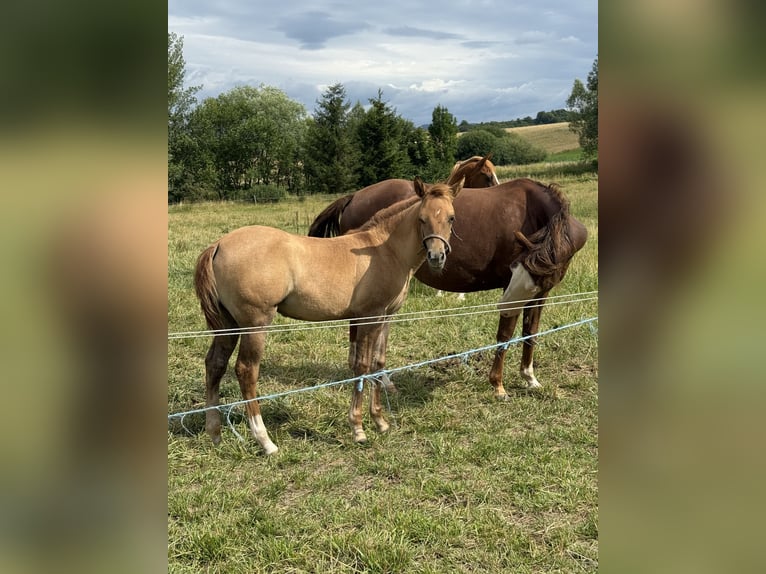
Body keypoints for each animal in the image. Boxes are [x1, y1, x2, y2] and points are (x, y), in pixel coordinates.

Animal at [193, 178, 462, 455]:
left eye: (451, 218)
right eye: (421, 218)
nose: (437, 256)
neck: (384, 249)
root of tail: (218, 245)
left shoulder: (383, 317)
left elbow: (376, 363)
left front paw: (380, 421)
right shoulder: (370, 316)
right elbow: (362, 366)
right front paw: (358, 429)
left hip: (228, 325)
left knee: (215, 365)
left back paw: (215, 433)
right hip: (255, 325)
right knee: (246, 371)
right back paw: (265, 441)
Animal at [307, 178, 588, 399]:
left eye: (529, 281)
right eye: (513, 269)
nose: (503, 305)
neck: (535, 211)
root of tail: (355, 196)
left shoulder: (540, 294)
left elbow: (531, 333)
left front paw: (529, 378)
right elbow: (505, 336)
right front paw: (498, 386)